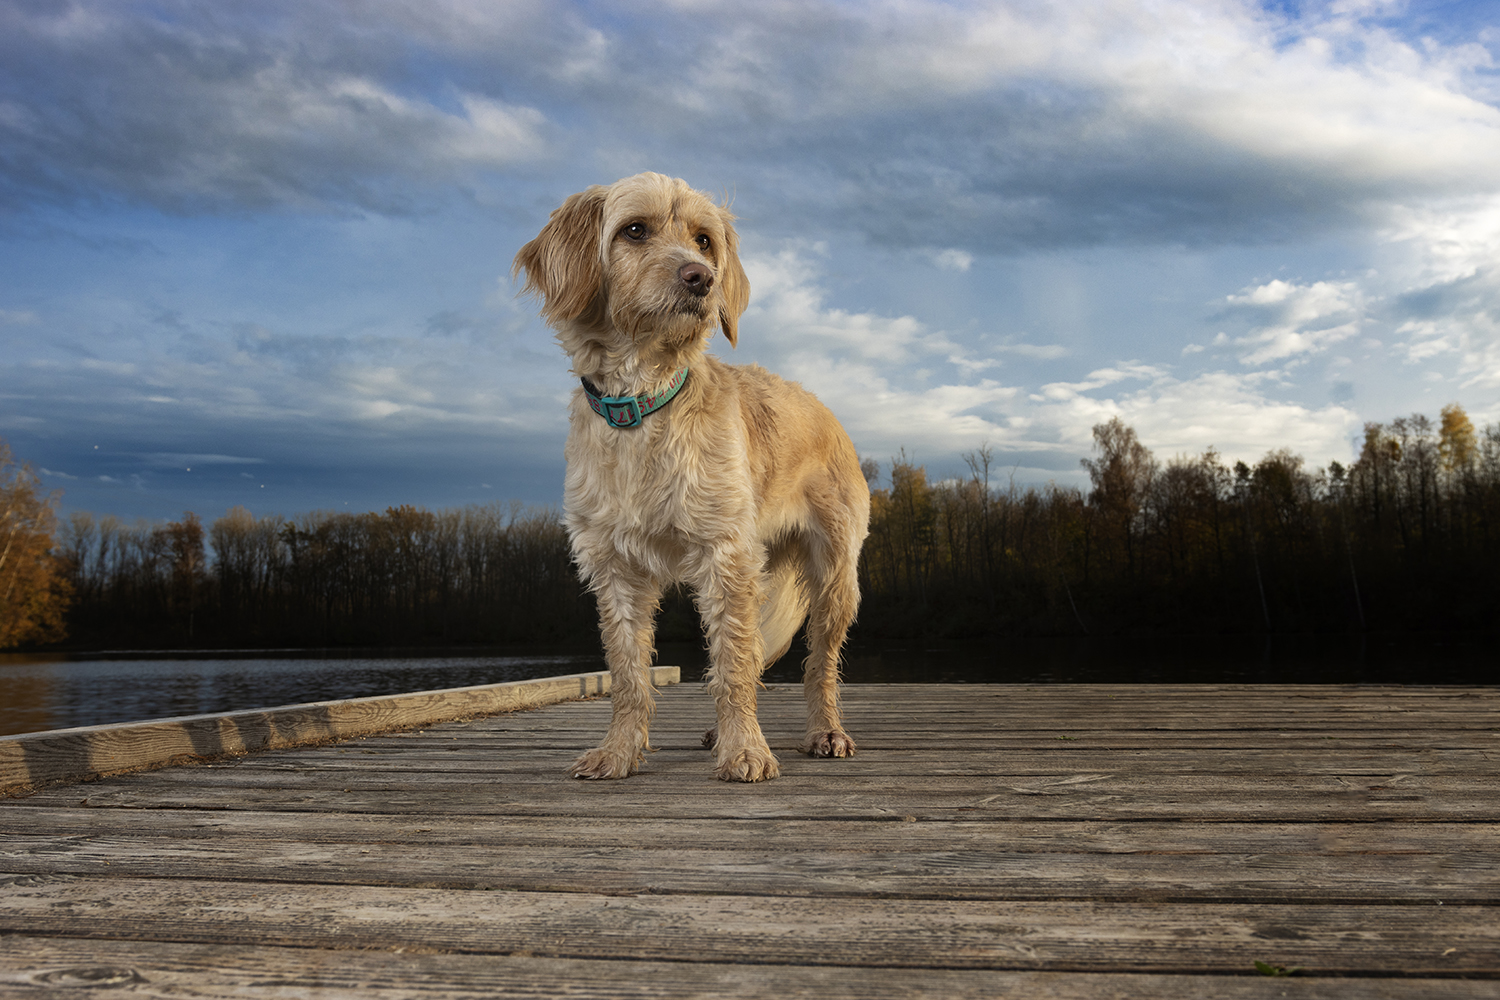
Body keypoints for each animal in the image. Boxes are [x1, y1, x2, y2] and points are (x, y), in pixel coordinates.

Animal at [513, 172, 870, 779]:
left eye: (704, 240)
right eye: (635, 230)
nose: (701, 277)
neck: (641, 404)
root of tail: (826, 411)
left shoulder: (725, 555)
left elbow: (732, 664)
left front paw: (746, 751)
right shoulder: (614, 566)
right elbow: (629, 672)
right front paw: (619, 752)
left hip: (834, 577)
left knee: (819, 664)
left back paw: (825, 732)